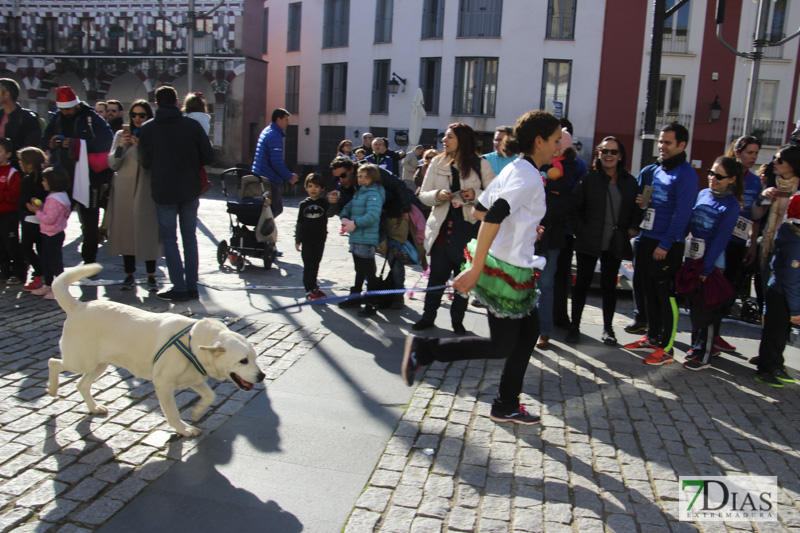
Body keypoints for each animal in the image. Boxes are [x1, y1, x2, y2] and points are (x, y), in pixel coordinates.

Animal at [46, 264, 266, 434]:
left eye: (255, 357)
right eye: (243, 360)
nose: (262, 376)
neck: (191, 343)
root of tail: (78, 306)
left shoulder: (193, 378)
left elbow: (211, 395)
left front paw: (196, 412)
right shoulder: (163, 384)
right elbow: (173, 413)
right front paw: (184, 429)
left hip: (99, 364)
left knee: (81, 384)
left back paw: (93, 407)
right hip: (79, 360)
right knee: (54, 362)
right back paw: (52, 388)